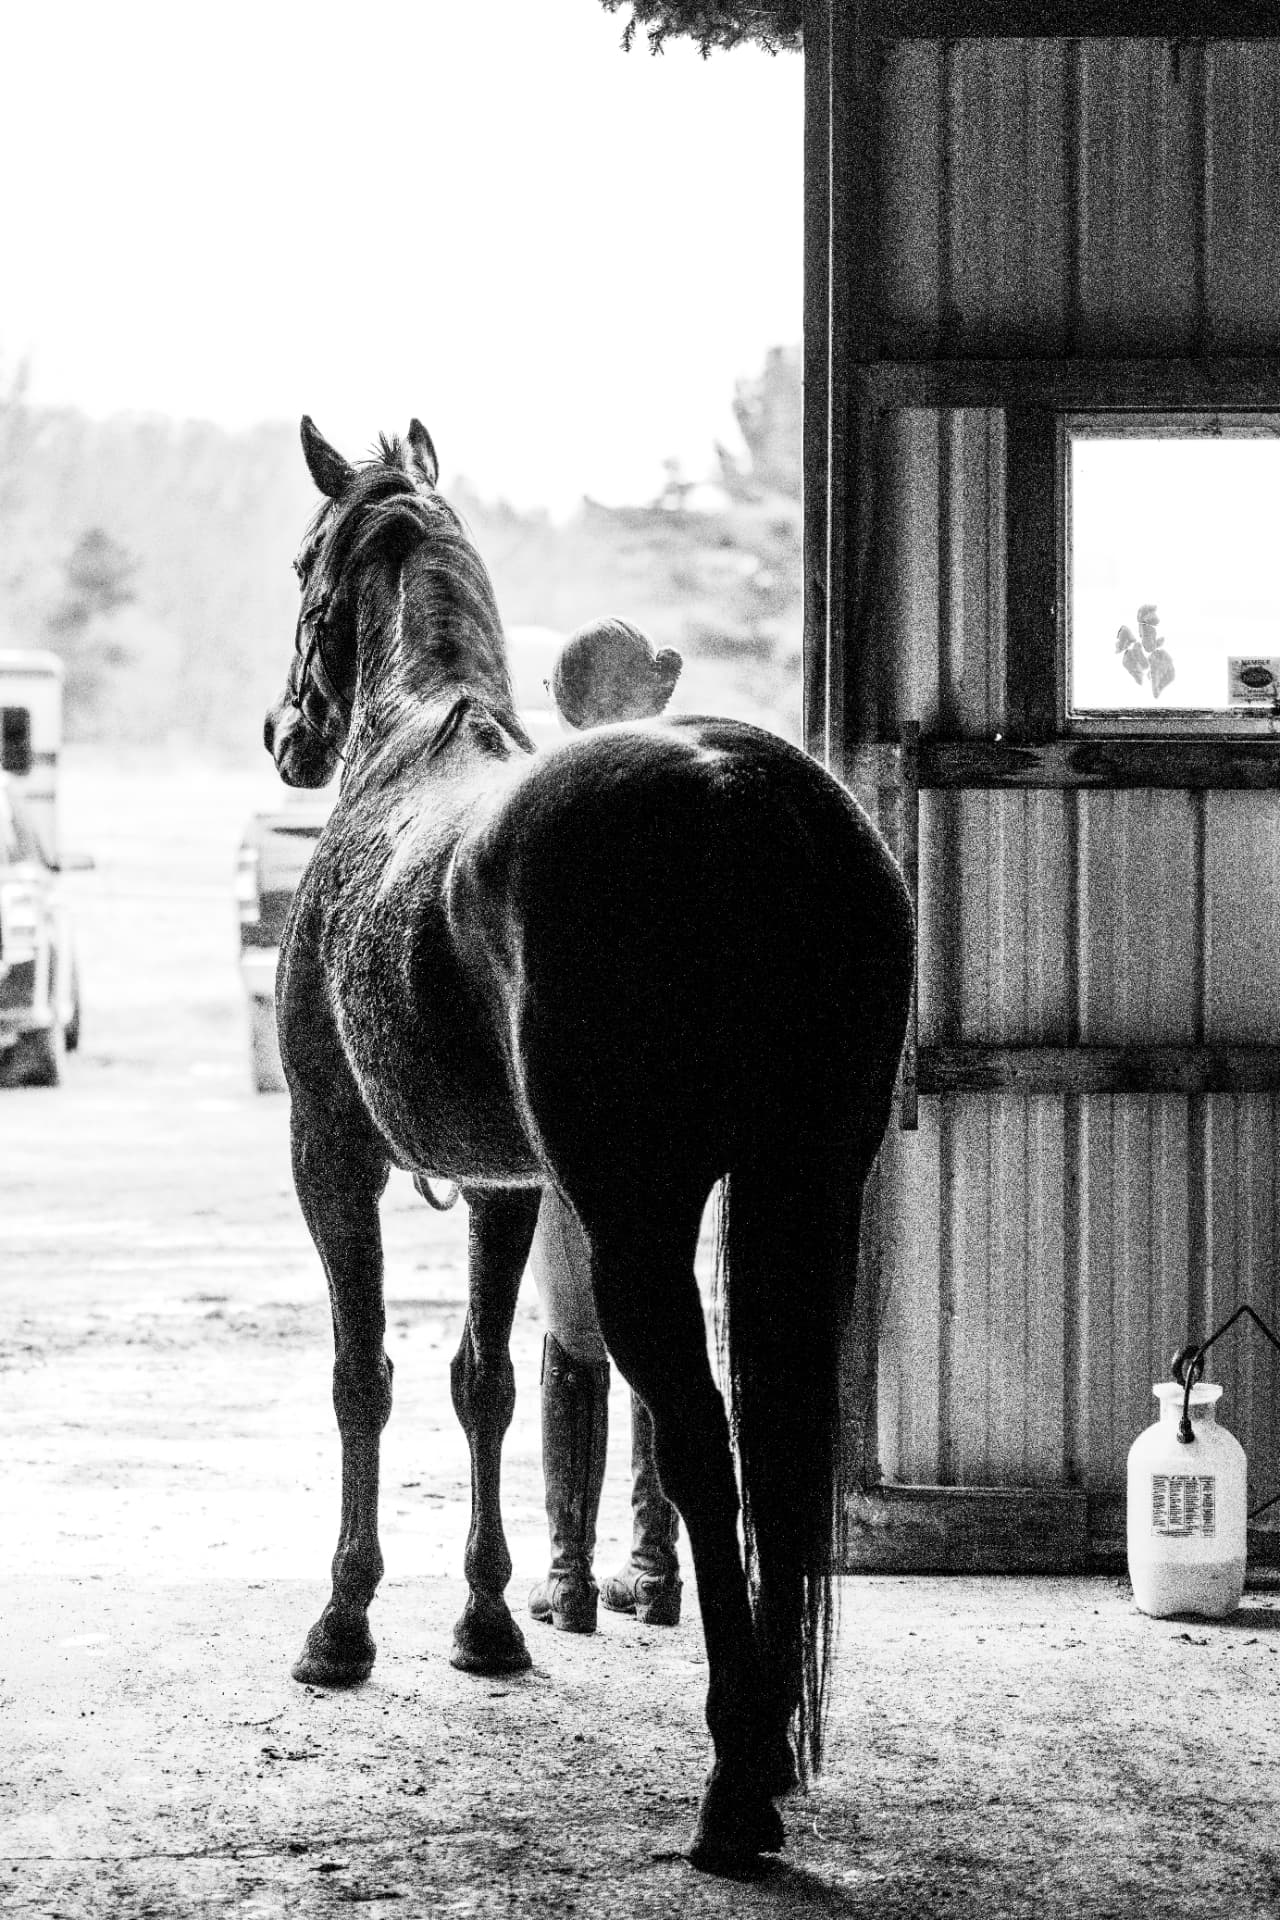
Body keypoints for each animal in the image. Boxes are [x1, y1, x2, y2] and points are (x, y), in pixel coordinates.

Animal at [262, 416, 914, 1875]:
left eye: (303, 562)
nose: (284, 733)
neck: (408, 756)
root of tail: (748, 797)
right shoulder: (506, 1186)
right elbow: (487, 1384)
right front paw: (488, 1624)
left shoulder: (331, 1157)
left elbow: (362, 1378)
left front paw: (343, 1627)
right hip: (800, 1189)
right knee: (773, 1461)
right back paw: (765, 1756)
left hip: (638, 1218)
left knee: (702, 1446)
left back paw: (733, 1795)